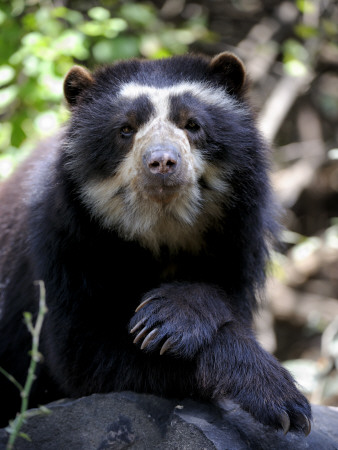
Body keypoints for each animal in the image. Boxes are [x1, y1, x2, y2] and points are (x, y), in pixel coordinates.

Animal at [0, 51, 312, 434]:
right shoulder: (66, 243)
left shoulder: (238, 235)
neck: (160, 228)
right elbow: (84, 353)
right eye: (125, 129)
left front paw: (169, 316)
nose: (162, 162)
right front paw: (281, 399)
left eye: (192, 124)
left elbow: (224, 293)